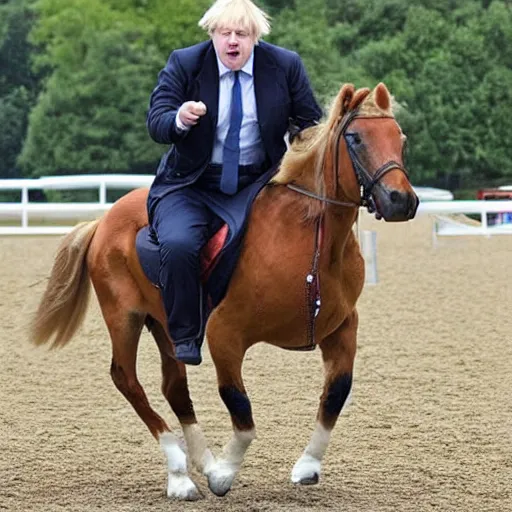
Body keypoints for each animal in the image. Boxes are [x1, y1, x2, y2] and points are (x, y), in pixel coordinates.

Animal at [30, 83, 418, 500]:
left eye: (400, 139)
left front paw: (307, 466)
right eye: (356, 138)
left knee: (174, 387)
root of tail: (103, 220)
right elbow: (241, 409)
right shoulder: (225, 334)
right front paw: (223, 474)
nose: (402, 201)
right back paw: (180, 474)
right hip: (124, 317)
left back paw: (197, 463)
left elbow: (336, 393)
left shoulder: (343, 327)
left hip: (167, 323)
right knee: (127, 380)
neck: (310, 241)